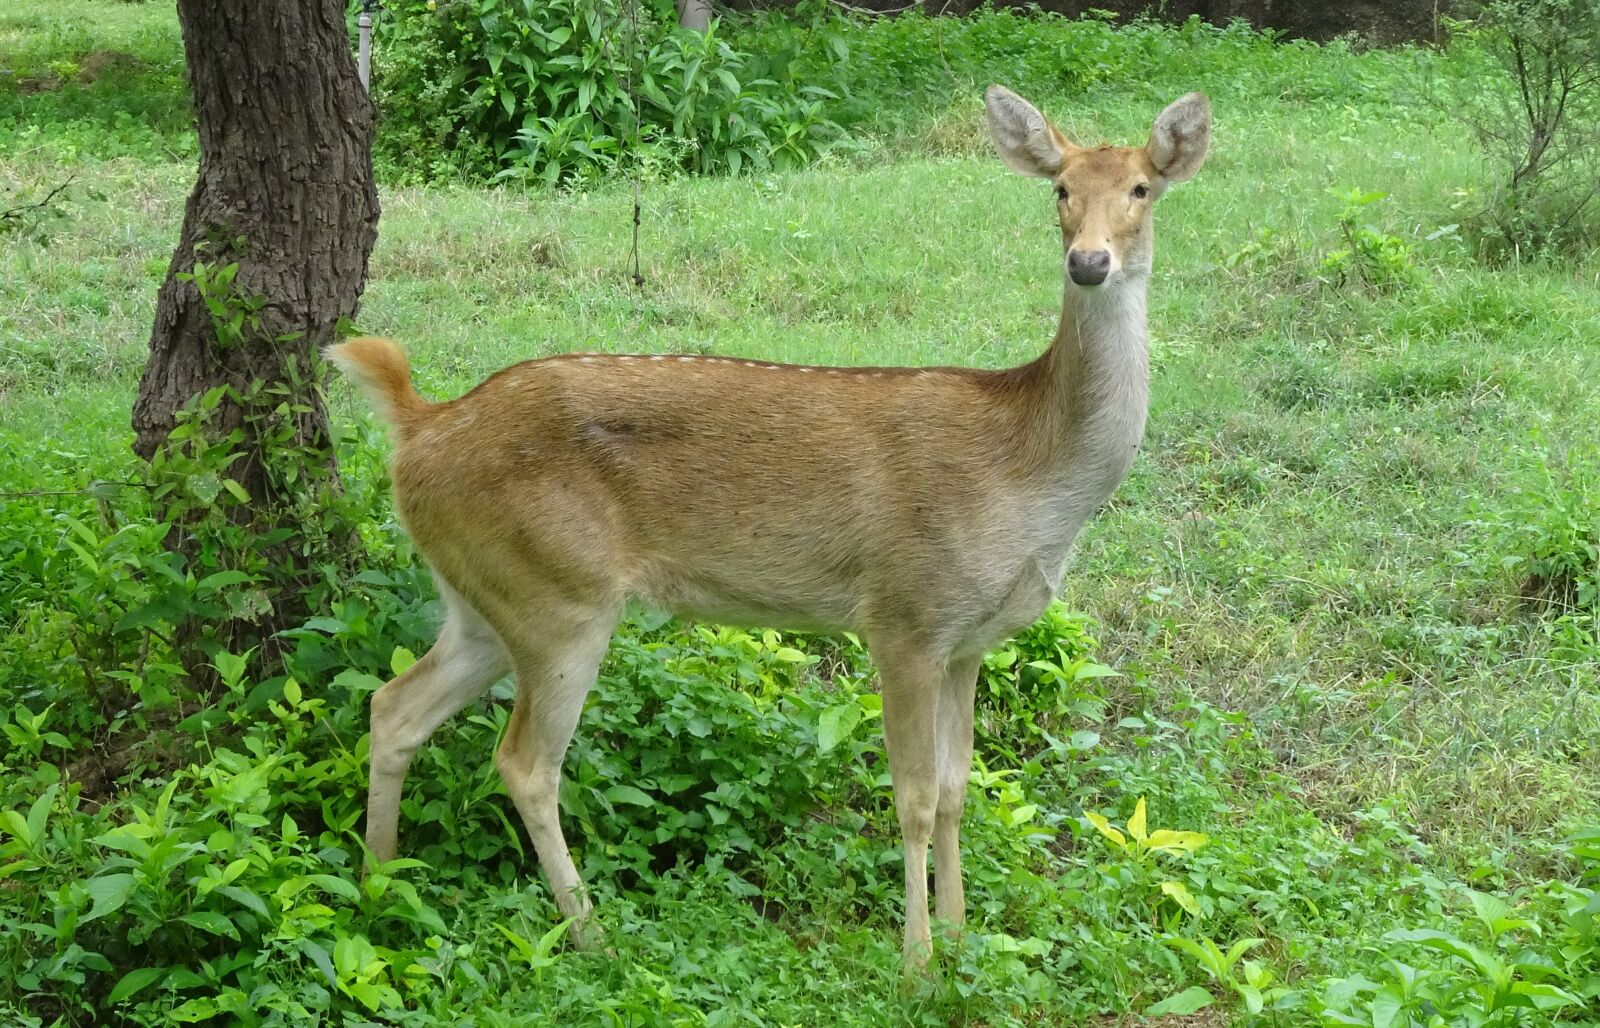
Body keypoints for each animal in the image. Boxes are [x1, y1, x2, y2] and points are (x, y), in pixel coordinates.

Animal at [329, 85, 1210, 969]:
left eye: (1141, 189)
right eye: (1060, 189)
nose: (1089, 262)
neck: (1029, 476)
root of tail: (418, 428)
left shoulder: (970, 640)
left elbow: (961, 790)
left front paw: (962, 938)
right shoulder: (904, 615)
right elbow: (916, 797)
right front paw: (917, 963)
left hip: (486, 595)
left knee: (394, 706)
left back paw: (378, 885)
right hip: (559, 595)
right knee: (523, 763)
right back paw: (590, 933)